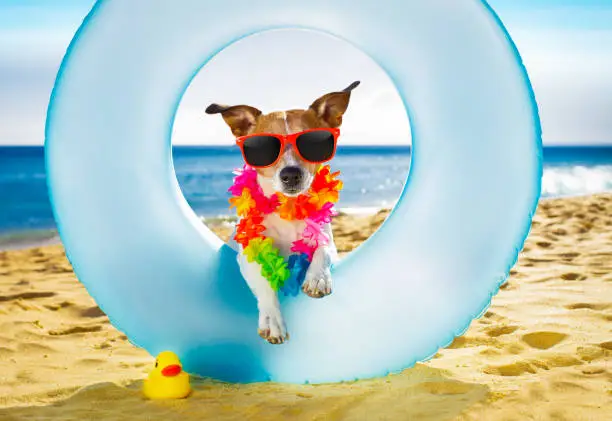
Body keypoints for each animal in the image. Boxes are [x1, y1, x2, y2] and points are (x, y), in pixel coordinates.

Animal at [206, 80, 358, 342]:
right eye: (262, 147)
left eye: (313, 142)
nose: (291, 174)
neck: (289, 209)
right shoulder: (248, 252)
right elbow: (263, 281)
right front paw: (272, 320)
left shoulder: (327, 239)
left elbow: (324, 250)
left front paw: (318, 278)